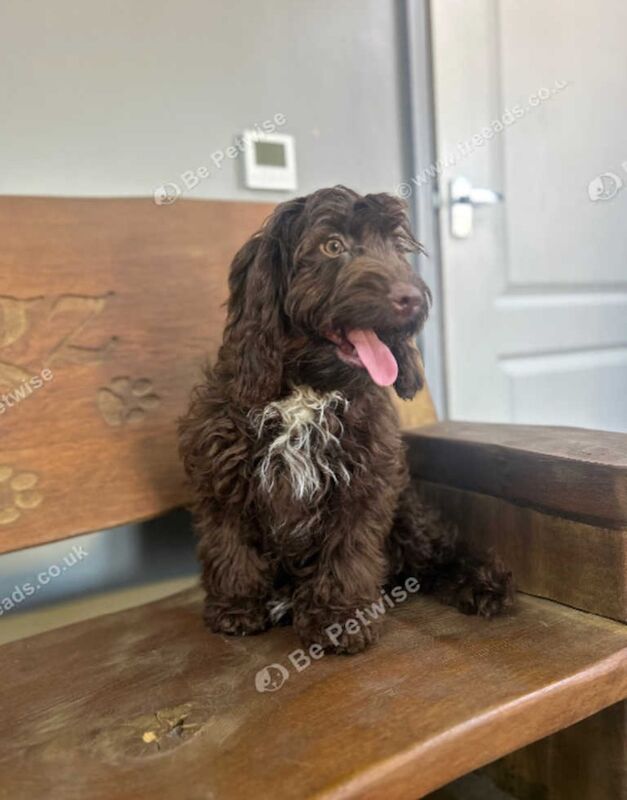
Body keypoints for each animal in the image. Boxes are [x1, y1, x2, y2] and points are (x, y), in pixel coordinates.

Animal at [179, 188, 512, 656]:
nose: (412, 298)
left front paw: (340, 619)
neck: (307, 388)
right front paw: (238, 605)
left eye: (395, 247)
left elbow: (347, 549)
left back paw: (481, 583)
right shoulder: (222, 474)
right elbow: (229, 541)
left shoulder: (364, 481)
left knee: (436, 552)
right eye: (332, 246)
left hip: (407, 515)